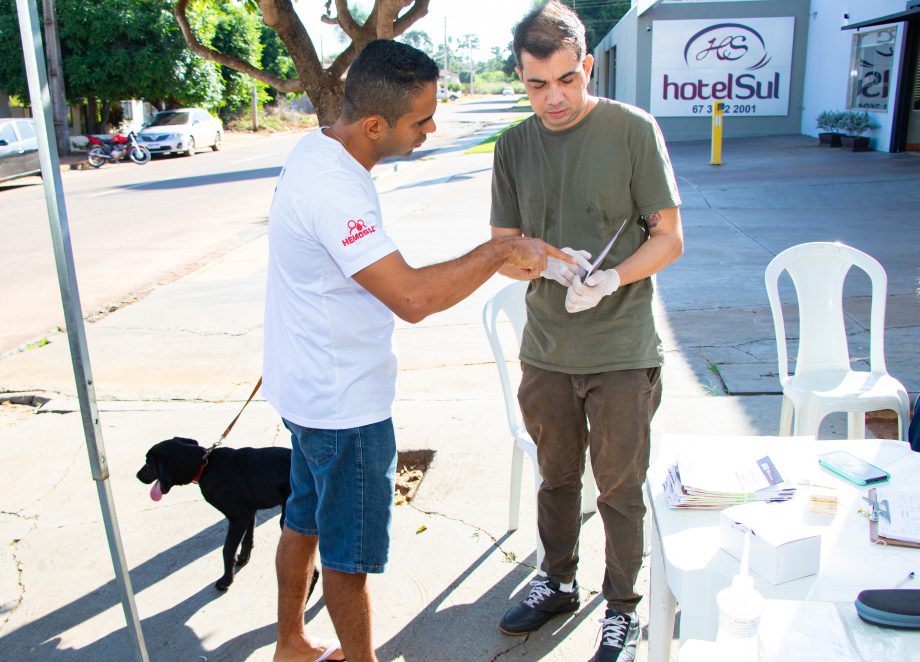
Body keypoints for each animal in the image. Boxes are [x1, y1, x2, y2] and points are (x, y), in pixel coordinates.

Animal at [137, 438, 320, 592]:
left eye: (148, 463)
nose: (137, 475)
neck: (205, 465)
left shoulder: (238, 517)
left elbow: (227, 549)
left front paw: (226, 580)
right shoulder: (249, 512)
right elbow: (247, 539)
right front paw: (243, 559)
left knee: (313, 571)